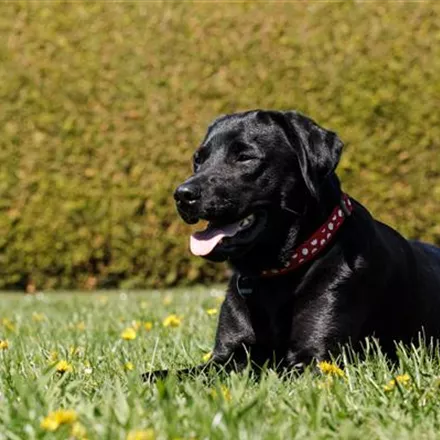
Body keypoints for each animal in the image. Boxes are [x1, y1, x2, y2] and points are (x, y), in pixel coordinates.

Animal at [146, 109, 440, 378]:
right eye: (198, 160)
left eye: (244, 157)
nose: (182, 195)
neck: (275, 274)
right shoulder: (225, 356)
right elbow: (172, 374)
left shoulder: (315, 359)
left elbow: (265, 370)